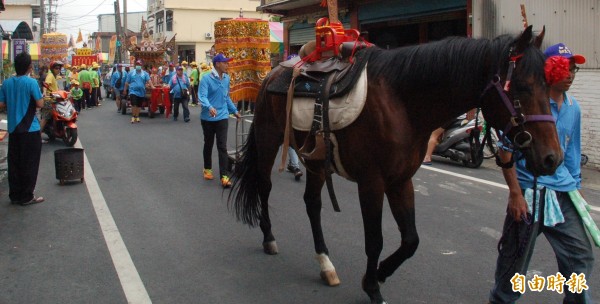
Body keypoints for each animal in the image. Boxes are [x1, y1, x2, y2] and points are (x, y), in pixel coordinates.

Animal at [230, 26, 564, 304]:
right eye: (521, 87)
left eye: (547, 87)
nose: (552, 158)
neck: (402, 102)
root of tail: (274, 73)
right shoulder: (372, 182)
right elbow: (375, 240)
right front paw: (372, 285)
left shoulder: (401, 180)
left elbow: (410, 240)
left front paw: (378, 274)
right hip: (269, 139)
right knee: (265, 186)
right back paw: (269, 238)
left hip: (314, 158)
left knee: (312, 203)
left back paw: (325, 263)